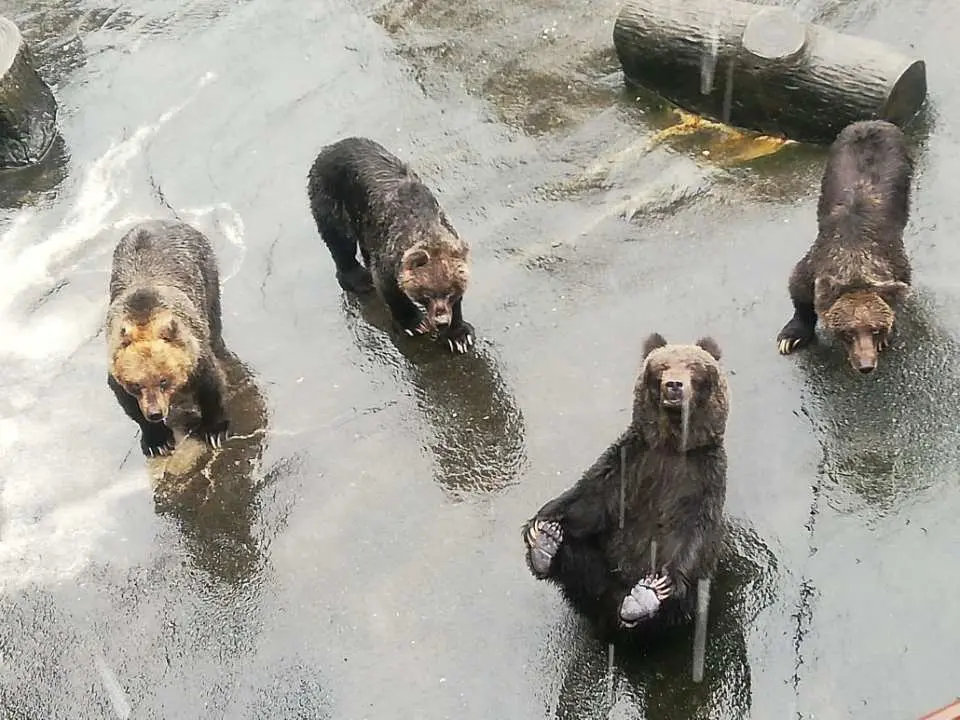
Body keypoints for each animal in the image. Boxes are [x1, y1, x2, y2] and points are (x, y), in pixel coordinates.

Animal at [106, 219, 230, 458]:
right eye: (136, 385)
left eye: (164, 380)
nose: (155, 413)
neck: (143, 319)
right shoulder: (116, 370)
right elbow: (130, 406)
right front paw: (157, 441)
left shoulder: (195, 353)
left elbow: (211, 386)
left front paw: (215, 430)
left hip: (207, 271)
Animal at [307, 136, 475, 354]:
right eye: (426, 294)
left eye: (451, 292)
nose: (441, 321)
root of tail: (330, 147)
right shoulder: (390, 252)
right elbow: (388, 287)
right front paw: (415, 323)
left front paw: (459, 336)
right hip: (333, 198)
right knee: (340, 243)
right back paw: (359, 278)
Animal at [521, 333, 729, 639]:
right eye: (662, 366)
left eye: (693, 366)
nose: (674, 385)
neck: (672, 447)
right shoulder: (630, 462)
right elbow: (590, 499)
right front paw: (541, 526)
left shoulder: (701, 476)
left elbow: (690, 532)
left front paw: (657, 586)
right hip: (602, 569)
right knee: (580, 560)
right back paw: (546, 547)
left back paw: (641, 599)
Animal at [776, 119, 913, 374]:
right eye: (849, 332)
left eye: (875, 329)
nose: (866, 365)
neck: (854, 258)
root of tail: (872, 122)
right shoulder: (814, 263)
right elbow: (799, 291)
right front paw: (791, 336)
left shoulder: (894, 262)